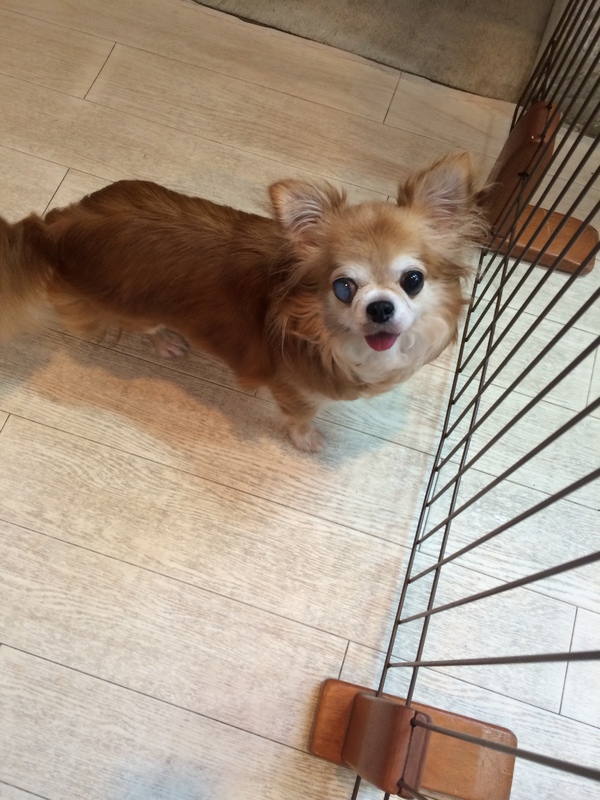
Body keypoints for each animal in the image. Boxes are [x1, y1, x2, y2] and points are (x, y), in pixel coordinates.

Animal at [0, 153, 482, 451]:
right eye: (344, 287)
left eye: (413, 280)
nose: (380, 307)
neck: (327, 334)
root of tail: (58, 225)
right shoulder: (294, 390)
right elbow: (300, 418)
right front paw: (306, 440)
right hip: (119, 306)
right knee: (141, 325)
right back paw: (166, 340)